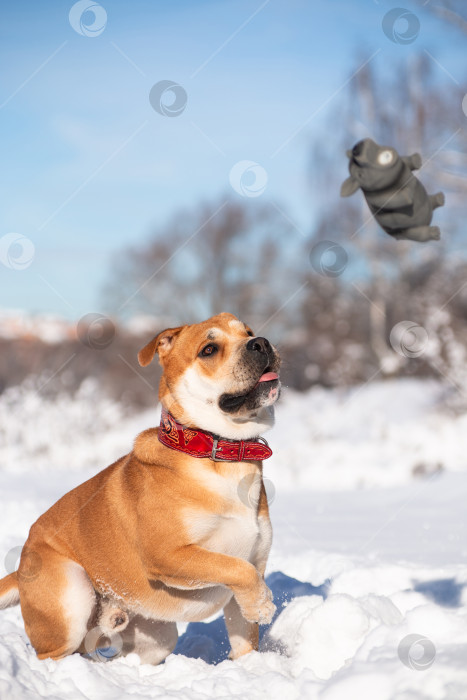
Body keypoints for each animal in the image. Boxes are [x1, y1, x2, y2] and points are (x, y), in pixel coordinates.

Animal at [0, 314, 282, 664]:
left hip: (156, 635)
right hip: (71, 597)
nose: (262, 343)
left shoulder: (254, 561)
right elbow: (236, 568)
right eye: (209, 349)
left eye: (248, 332)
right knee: (54, 655)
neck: (218, 454)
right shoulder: (171, 554)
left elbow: (245, 634)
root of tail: (21, 564)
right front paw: (263, 603)